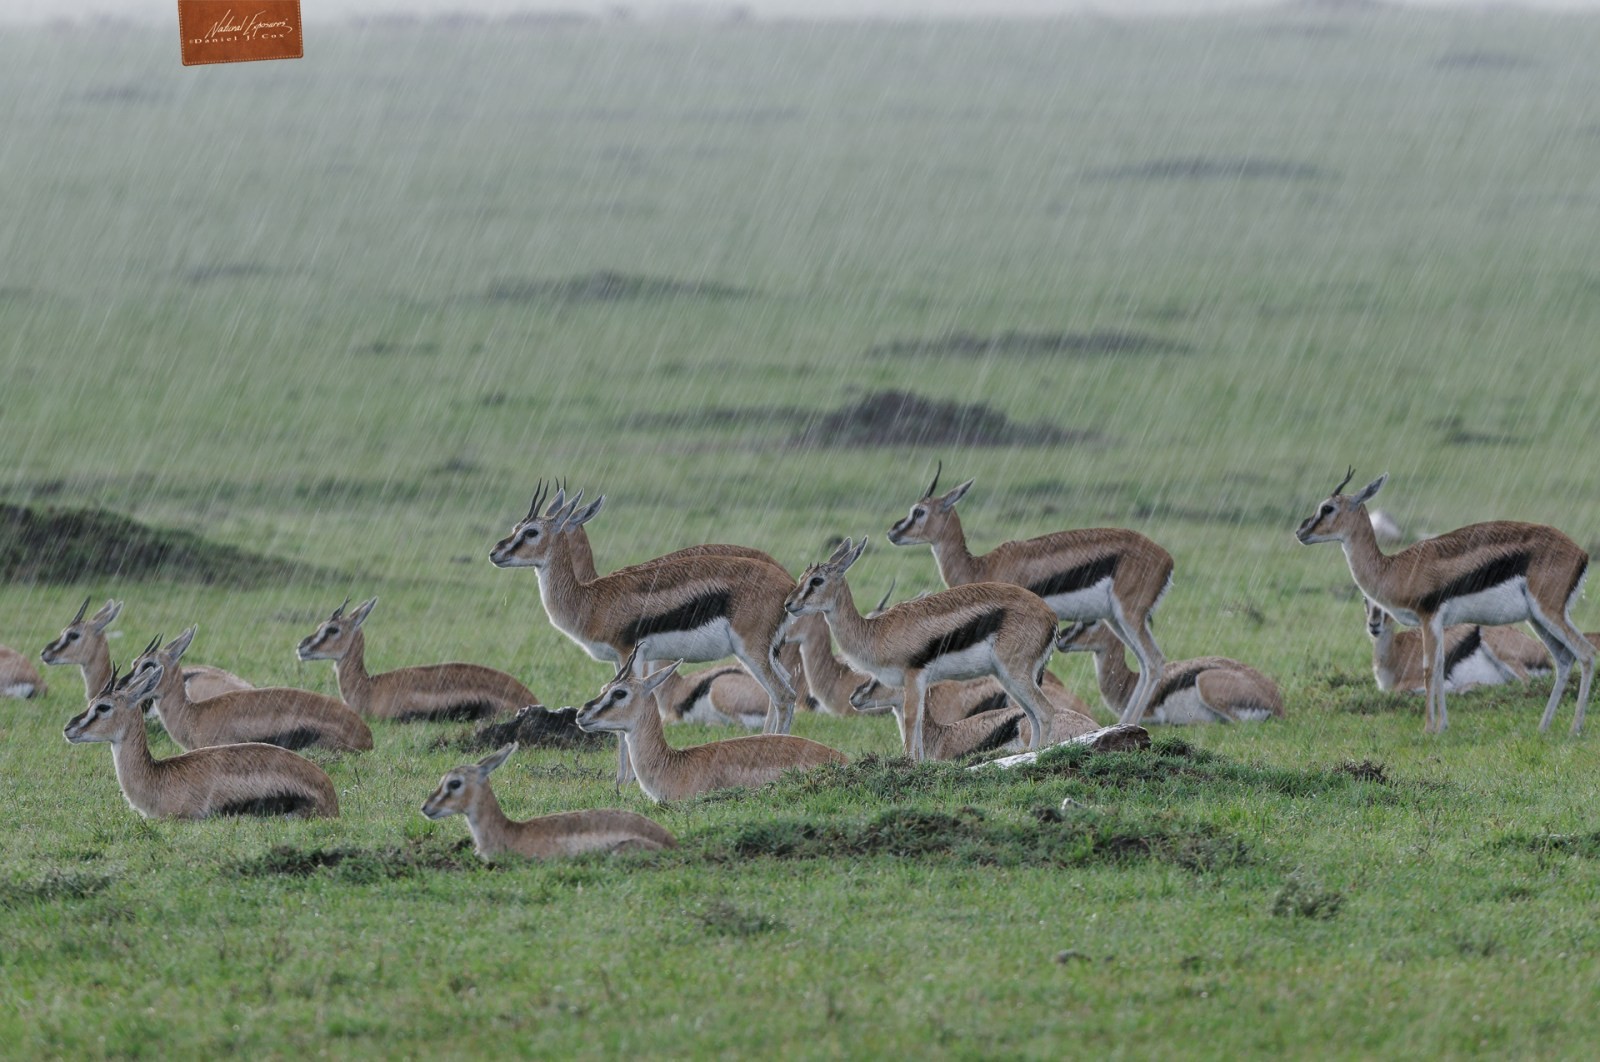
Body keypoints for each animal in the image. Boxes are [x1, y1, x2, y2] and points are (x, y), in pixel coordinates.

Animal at [490, 482, 800, 746]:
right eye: (517, 526)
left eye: (531, 532)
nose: (495, 553)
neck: (592, 597)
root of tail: (788, 583)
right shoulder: (620, 662)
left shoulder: (630, 655)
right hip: (763, 655)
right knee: (782, 690)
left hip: (751, 651)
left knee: (784, 695)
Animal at [785, 537, 1059, 761]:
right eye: (802, 578)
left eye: (817, 580)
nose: (789, 604)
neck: (877, 632)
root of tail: (1050, 615)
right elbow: (917, 725)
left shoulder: (913, 677)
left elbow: (910, 721)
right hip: (1006, 678)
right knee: (1032, 715)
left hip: (1015, 673)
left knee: (1045, 711)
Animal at [886, 466, 1174, 725]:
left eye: (919, 511)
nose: (893, 533)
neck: (981, 566)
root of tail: (1166, 559)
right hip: (1116, 620)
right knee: (1145, 664)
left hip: (1129, 616)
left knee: (1155, 661)